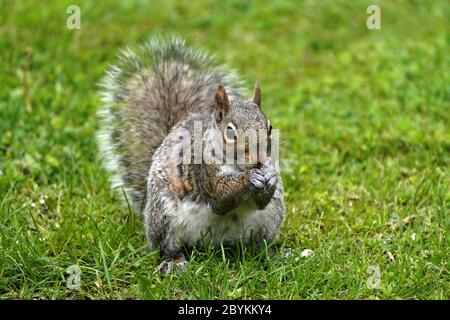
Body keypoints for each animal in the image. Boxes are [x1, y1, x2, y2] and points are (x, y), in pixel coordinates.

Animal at [97, 35, 284, 270]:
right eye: (230, 131)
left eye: (269, 127)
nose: (259, 160)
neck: (238, 166)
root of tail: (217, 243)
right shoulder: (204, 171)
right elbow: (222, 199)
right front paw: (250, 179)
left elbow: (262, 201)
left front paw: (269, 177)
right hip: (164, 217)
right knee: (165, 246)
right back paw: (174, 262)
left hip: (272, 216)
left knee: (259, 244)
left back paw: (274, 254)